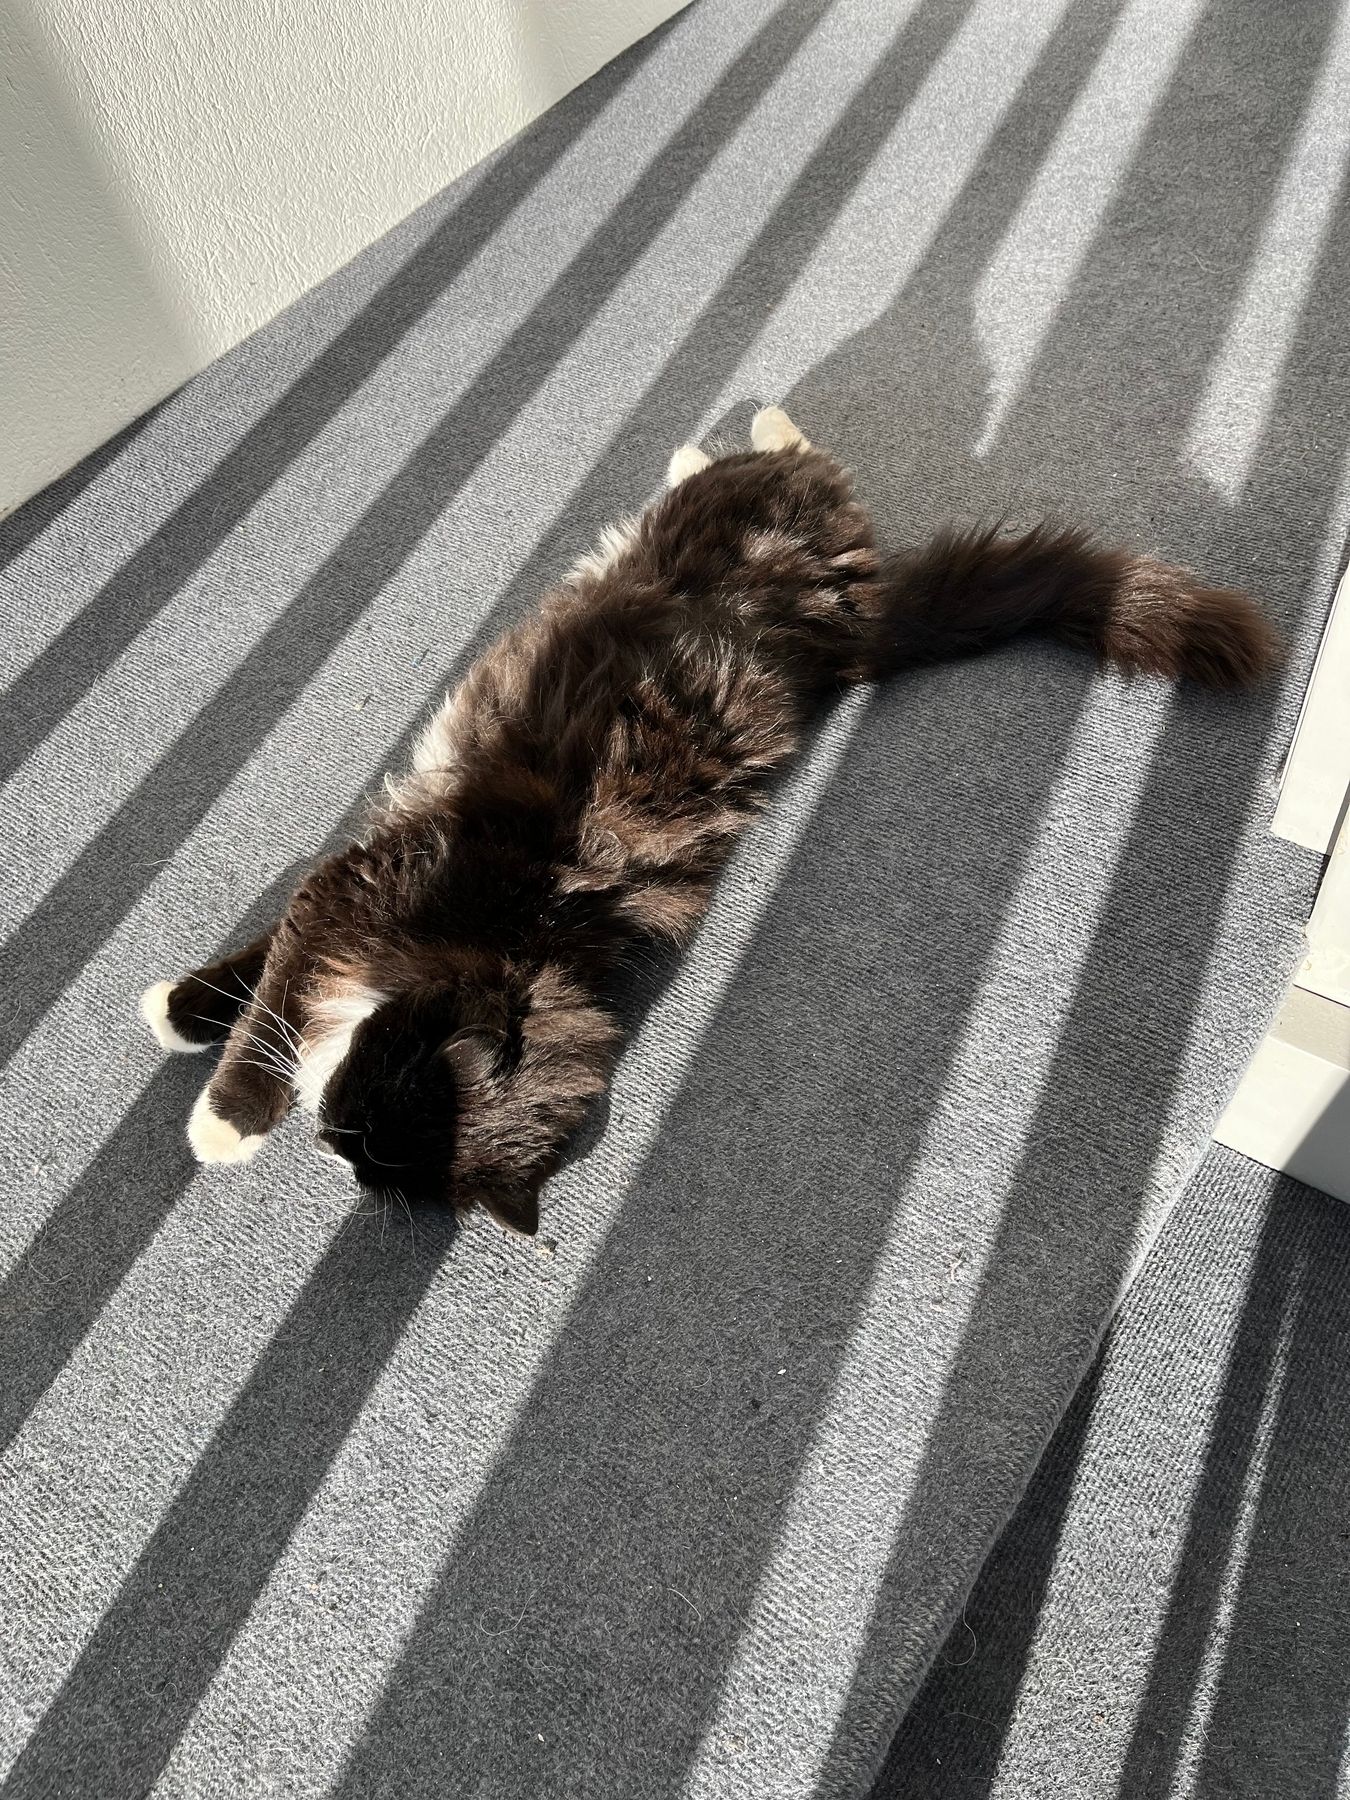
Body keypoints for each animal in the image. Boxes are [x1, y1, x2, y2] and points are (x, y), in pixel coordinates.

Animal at [137, 408, 1281, 1238]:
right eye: (380, 1099)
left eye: (377, 1144)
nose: (332, 1140)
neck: (514, 945)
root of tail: (845, 634)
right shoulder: (361, 885)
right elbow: (264, 984)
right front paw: (208, 1065)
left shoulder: (360, 902)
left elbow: (273, 985)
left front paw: (220, 1101)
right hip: (715, 515)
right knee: (773, 454)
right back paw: (747, 422)